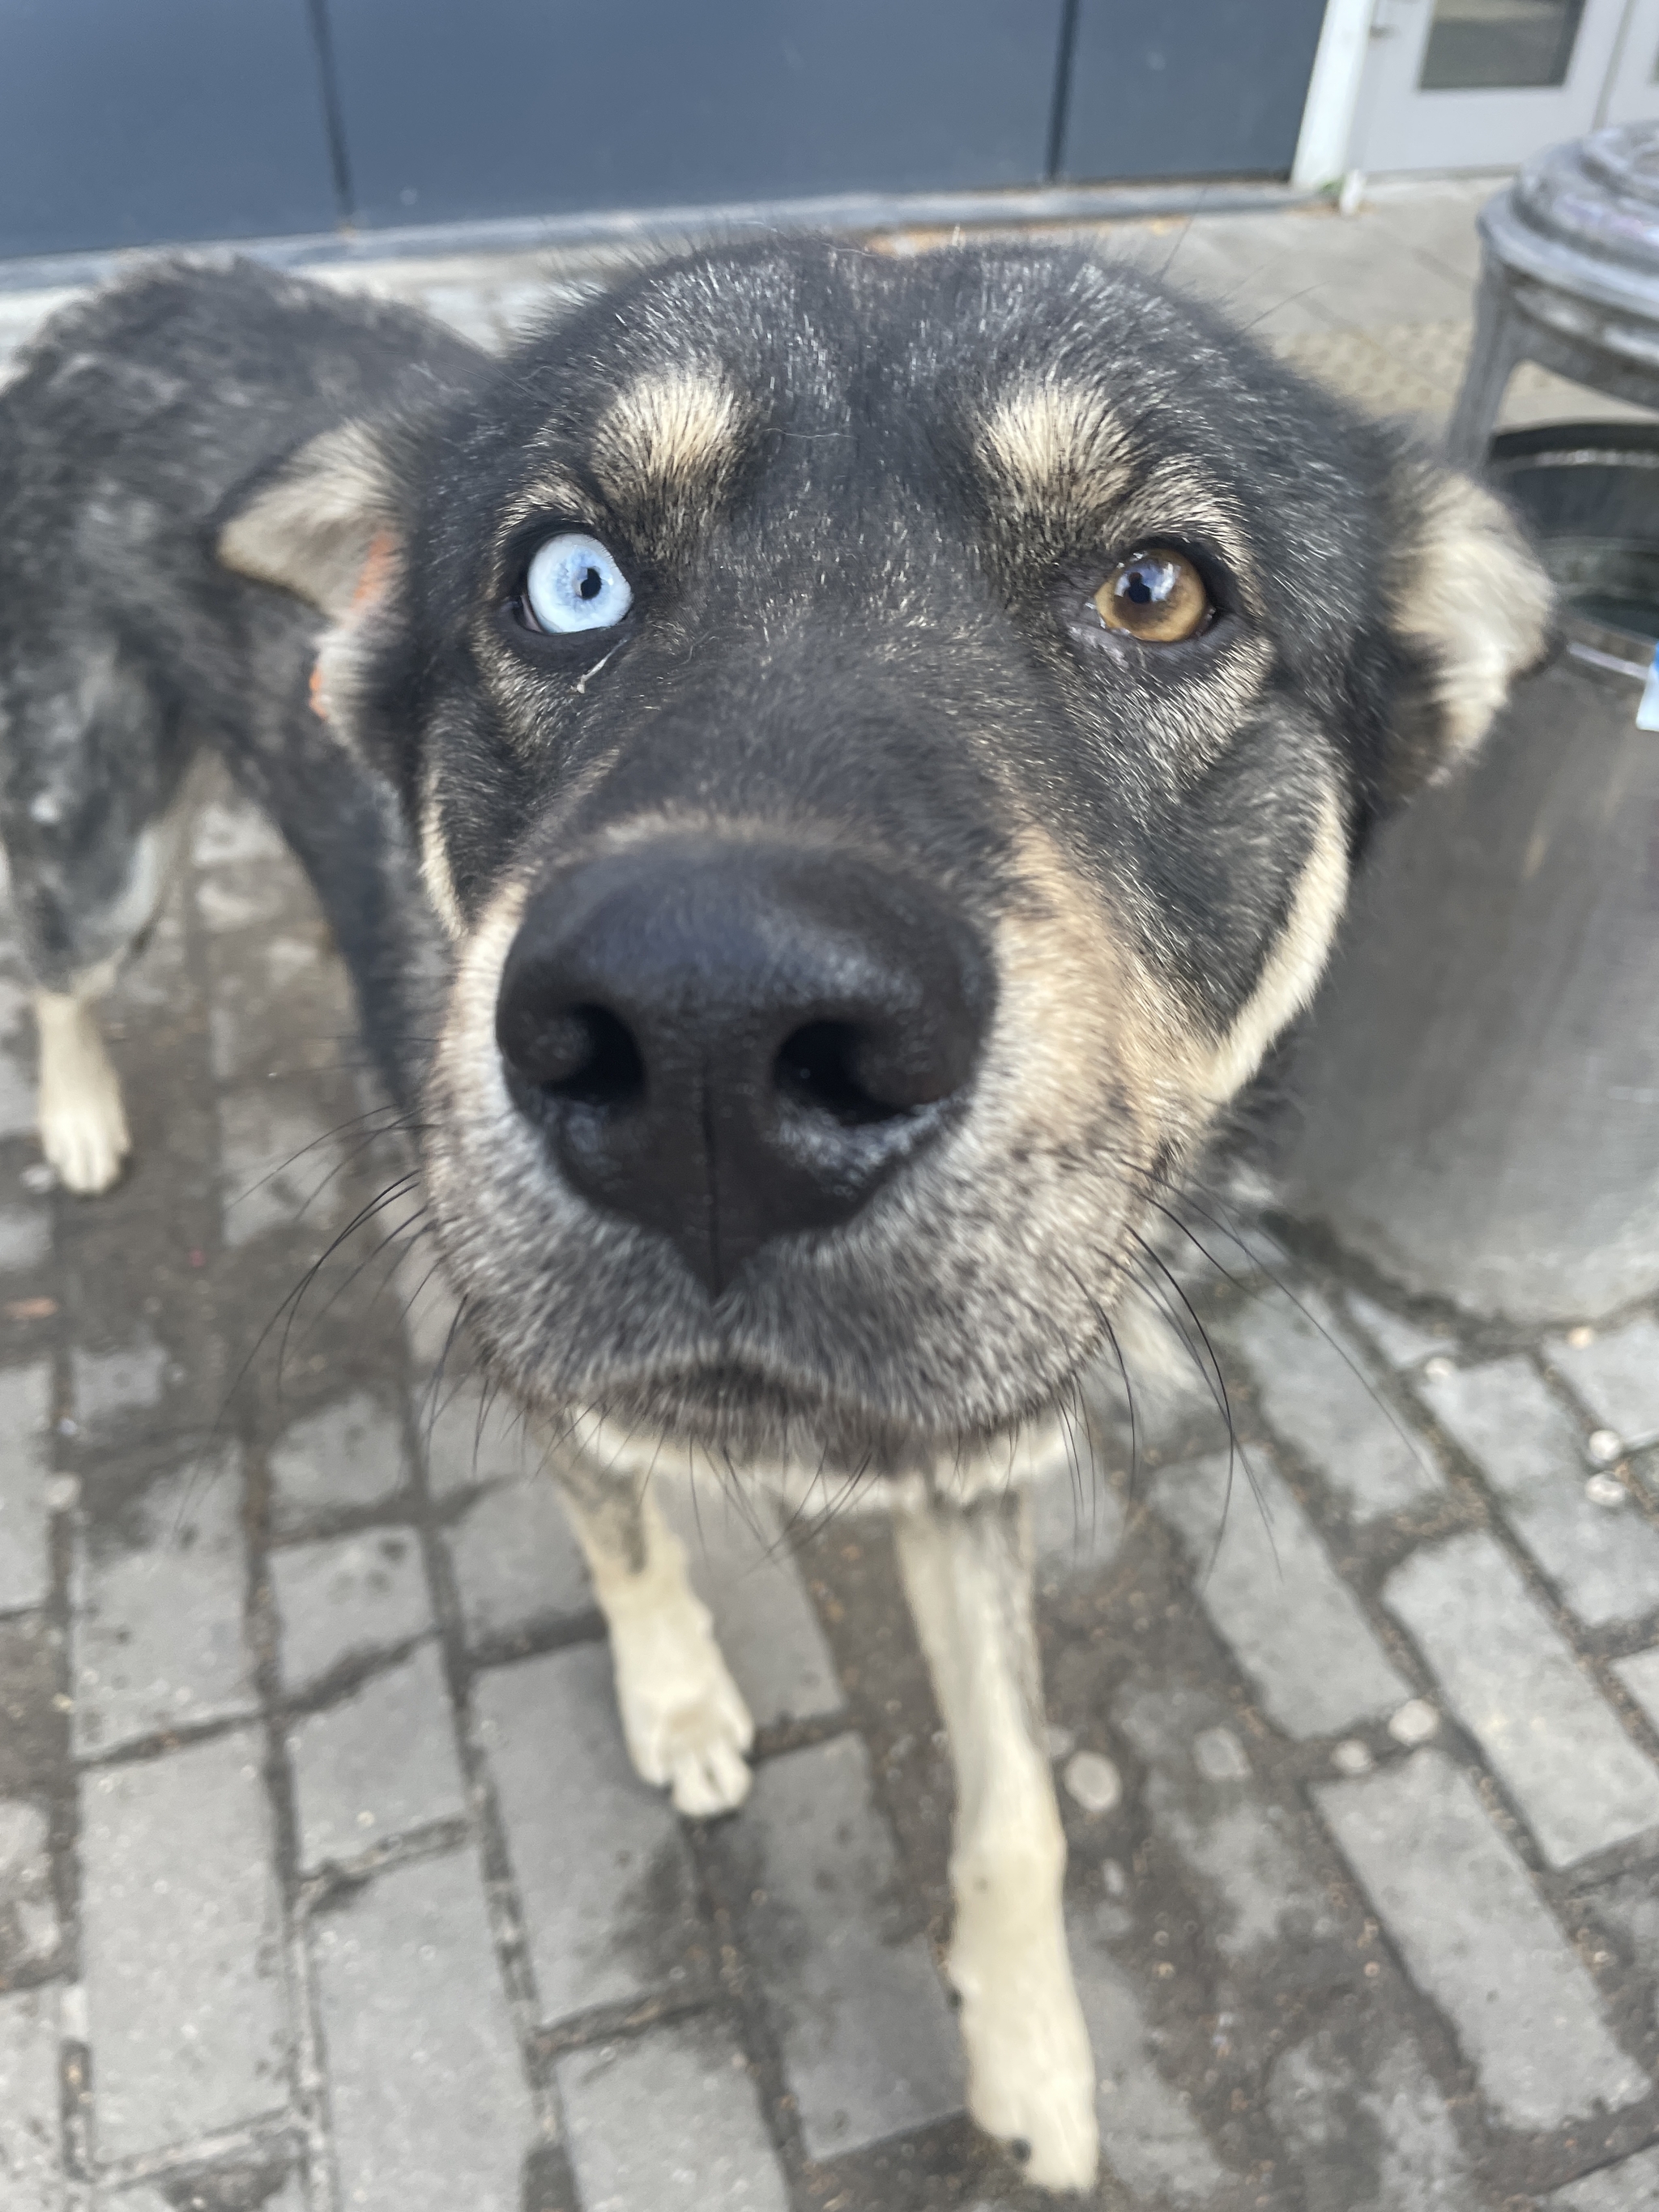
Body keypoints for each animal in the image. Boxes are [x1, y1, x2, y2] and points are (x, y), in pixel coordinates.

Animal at [0, 246, 1557, 2194]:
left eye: (1155, 591)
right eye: (567, 581)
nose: (708, 1046)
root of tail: (118, 296)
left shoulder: (976, 1467)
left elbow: (1020, 1802)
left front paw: (1033, 2058)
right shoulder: (535, 1356)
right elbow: (625, 1543)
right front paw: (675, 1705)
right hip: (102, 847)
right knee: (50, 965)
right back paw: (73, 1109)